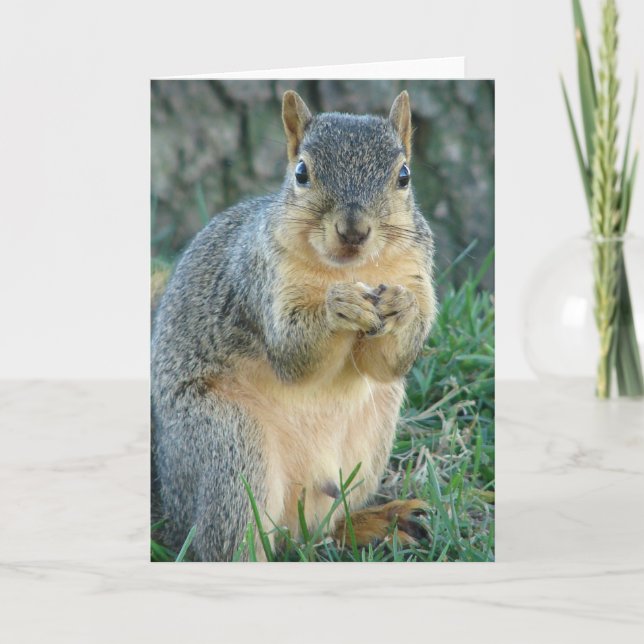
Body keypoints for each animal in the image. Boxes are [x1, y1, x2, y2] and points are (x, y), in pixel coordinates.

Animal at [151, 89, 437, 561]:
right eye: (302, 173)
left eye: (404, 176)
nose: (353, 230)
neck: (349, 269)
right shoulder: (260, 278)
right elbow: (293, 356)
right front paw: (338, 307)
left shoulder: (415, 269)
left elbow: (387, 364)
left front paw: (404, 307)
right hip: (230, 451)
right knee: (227, 542)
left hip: (372, 438)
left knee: (322, 531)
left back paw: (377, 522)